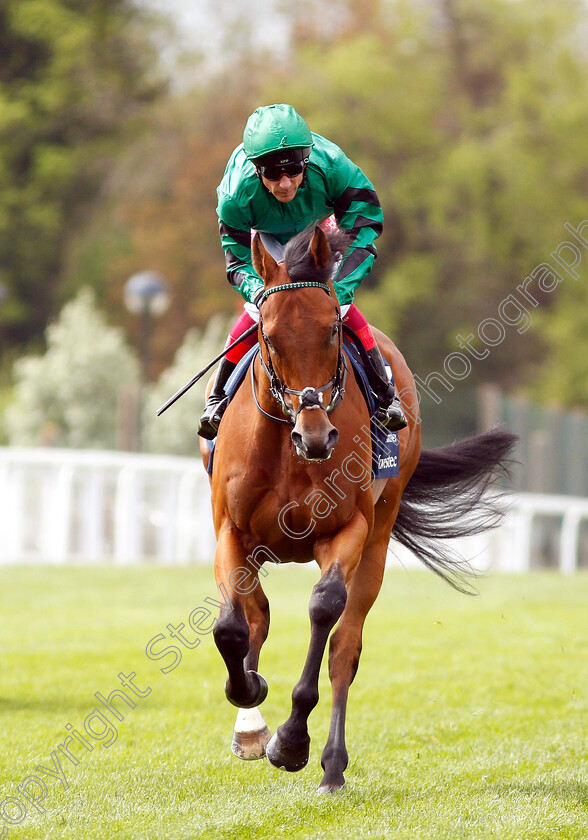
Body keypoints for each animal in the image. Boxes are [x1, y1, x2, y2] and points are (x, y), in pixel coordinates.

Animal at [199, 221, 516, 788]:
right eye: (269, 336)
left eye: (331, 330)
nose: (316, 435)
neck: (288, 448)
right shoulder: (232, 532)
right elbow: (232, 627)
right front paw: (250, 701)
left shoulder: (346, 531)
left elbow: (325, 611)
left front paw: (292, 741)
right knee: (258, 615)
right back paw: (253, 724)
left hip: (379, 533)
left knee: (345, 645)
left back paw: (331, 764)